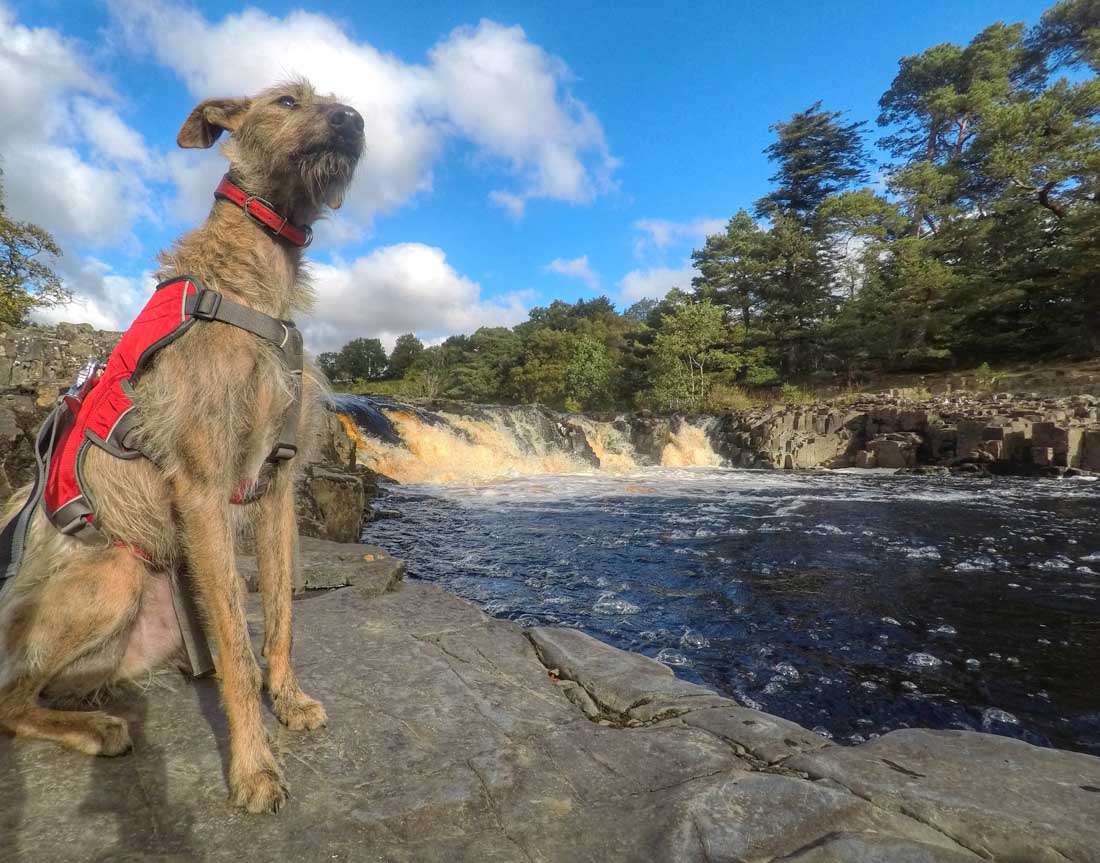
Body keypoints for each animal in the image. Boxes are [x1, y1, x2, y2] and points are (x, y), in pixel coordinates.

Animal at [0, 77, 365, 813]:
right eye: (287, 101)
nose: (355, 121)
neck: (256, 282)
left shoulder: (278, 486)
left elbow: (280, 615)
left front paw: (288, 699)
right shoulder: (201, 488)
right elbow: (237, 647)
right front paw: (254, 766)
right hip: (112, 576)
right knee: (7, 702)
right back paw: (97, 728)